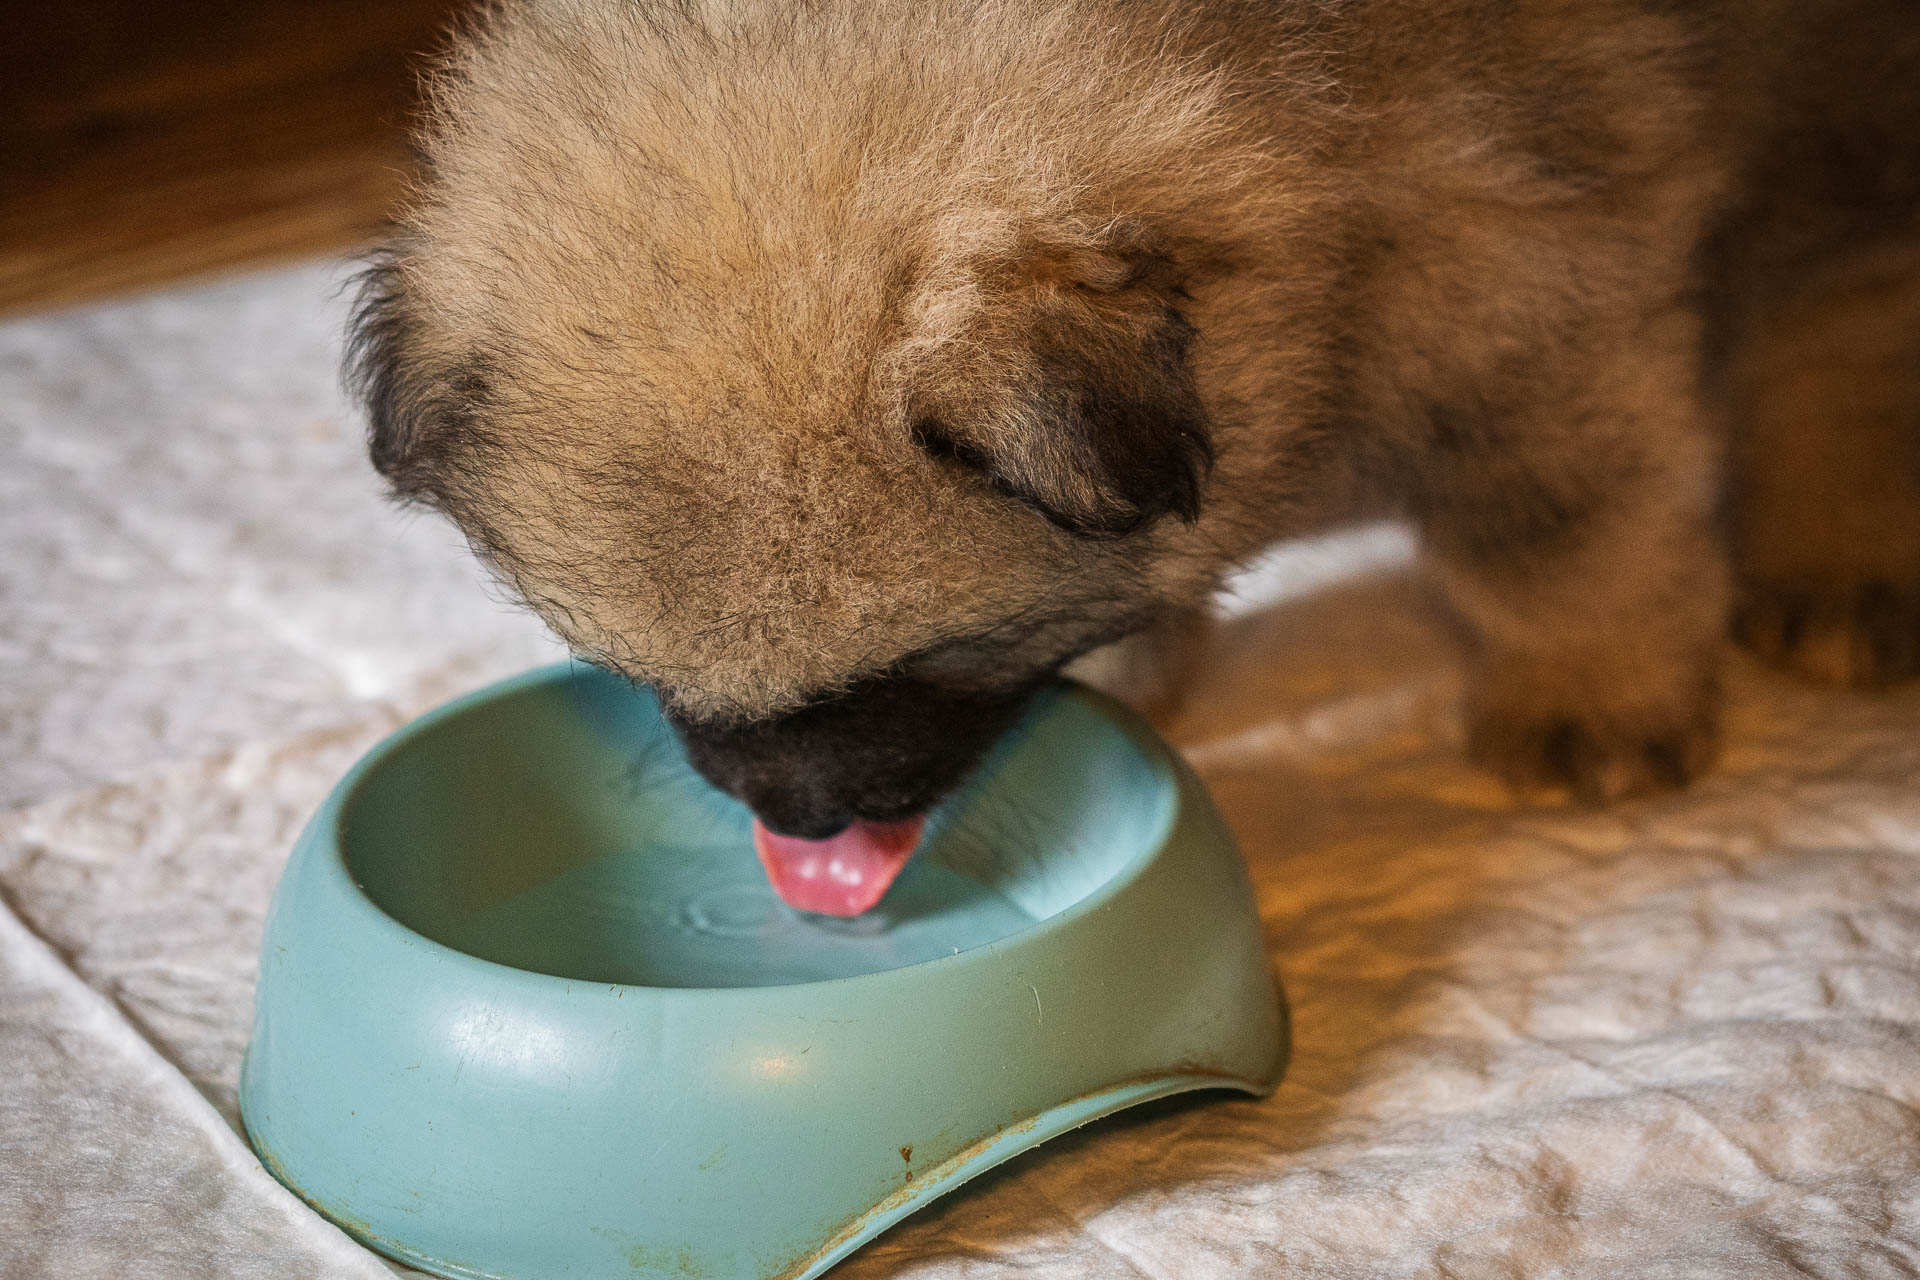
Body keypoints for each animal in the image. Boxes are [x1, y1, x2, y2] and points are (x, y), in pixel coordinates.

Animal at [345, 0, 1920, 867]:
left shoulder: (1530, 300)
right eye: (650, 681)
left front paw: (1592, 697)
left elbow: (1560, 534)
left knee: (1839, 329)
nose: (802, 827)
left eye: (920, 661)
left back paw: (1844, 560)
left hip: (1828, 129)